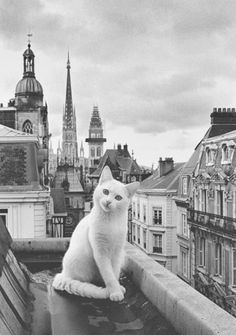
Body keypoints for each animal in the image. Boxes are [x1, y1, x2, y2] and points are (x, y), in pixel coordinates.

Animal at [52, 167, 139, 304]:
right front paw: (114, 292)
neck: (110, 221)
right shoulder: (100, 252)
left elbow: (114, 272)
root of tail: (63, 274)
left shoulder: (117, 252)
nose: (108, 201)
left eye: (118, 197)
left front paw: (117, 288)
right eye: (105, 191)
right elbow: (109, 275)